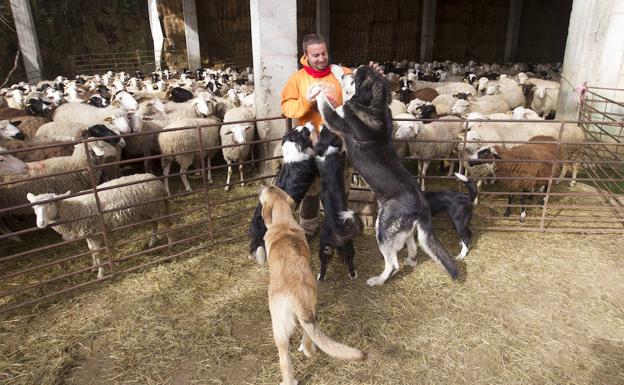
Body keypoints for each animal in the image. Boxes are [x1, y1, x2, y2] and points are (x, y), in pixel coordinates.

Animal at [26, 172, 172, 278]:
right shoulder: (88, 233)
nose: (41, 223)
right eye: (33, 207)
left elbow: (97, 253)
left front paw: (101, 273)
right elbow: (91, 250)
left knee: (166, 224)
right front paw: (94, 267)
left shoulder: (95, 232)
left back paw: (170, 243)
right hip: (148, 210)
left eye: (50, 203)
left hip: (157, 207)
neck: (72, 210)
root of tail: (156, 179)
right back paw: (152, 242)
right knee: (154, 224)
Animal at [260, 184, 368, 382]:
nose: (264, 185)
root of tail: (295, 293)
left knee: (287, 354)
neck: (283, 223)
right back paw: (307, 353)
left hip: (280, 327)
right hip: (308, 309)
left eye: (269, 190)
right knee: (305, 339)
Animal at [314, 125, 364, 280]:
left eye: (324, 131)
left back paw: (320, 277)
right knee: (350, 259)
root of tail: (338, 228)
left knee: (323, 263)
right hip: (349, 244)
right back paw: (353, 275)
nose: (323, 125)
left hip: (323, 245)